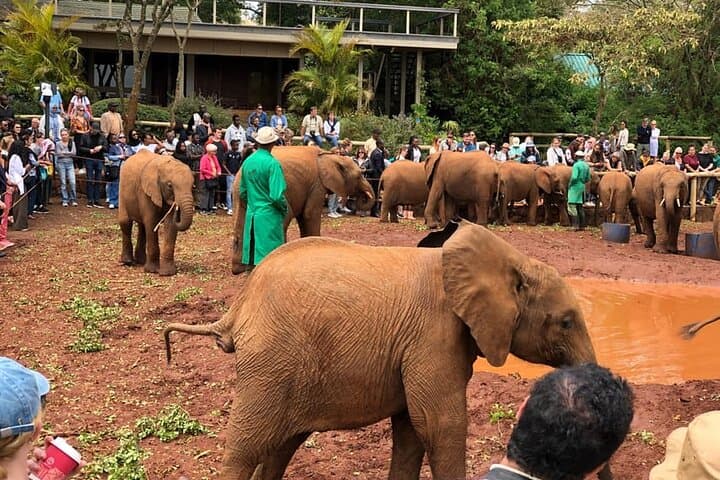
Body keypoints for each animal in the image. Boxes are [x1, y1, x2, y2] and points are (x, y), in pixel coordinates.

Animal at [164, 220, 599, 480]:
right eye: (566, 322)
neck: (507, 257)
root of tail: (238, 306)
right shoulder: (432, 335)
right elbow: (440, 425)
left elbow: (411, 431)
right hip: (270, 360)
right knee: (246, 447)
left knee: (279, 447)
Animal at [231, 146, 374, 274]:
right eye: (359, 176)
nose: (363, 198)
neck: (331, 156)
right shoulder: (317, 184)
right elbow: (309, 214)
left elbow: (303, 216)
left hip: (240, 193)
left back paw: (242, 269)